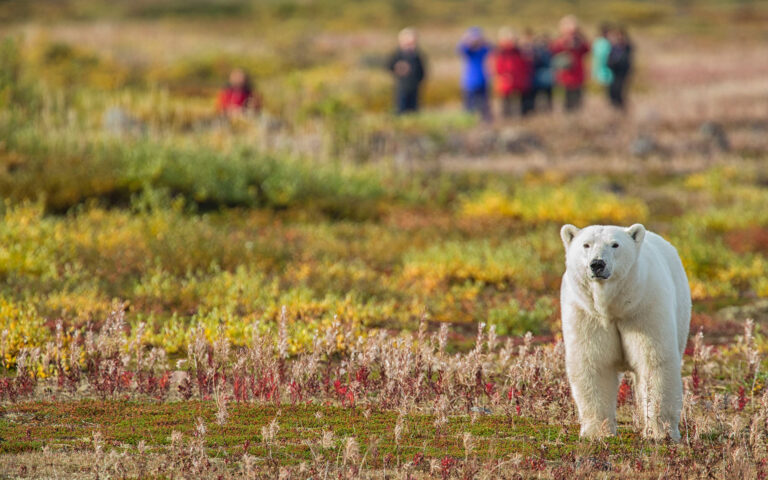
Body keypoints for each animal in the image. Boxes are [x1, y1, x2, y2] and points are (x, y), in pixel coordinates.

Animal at [560, 223, 688, 440]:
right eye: (586, 244)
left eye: (615, 244)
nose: (597, 264)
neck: (614, 307)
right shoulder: (587, 314)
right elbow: (593, 362)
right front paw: (597, 432)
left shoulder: (644, 308)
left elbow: (654, 362)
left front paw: (660, 431)